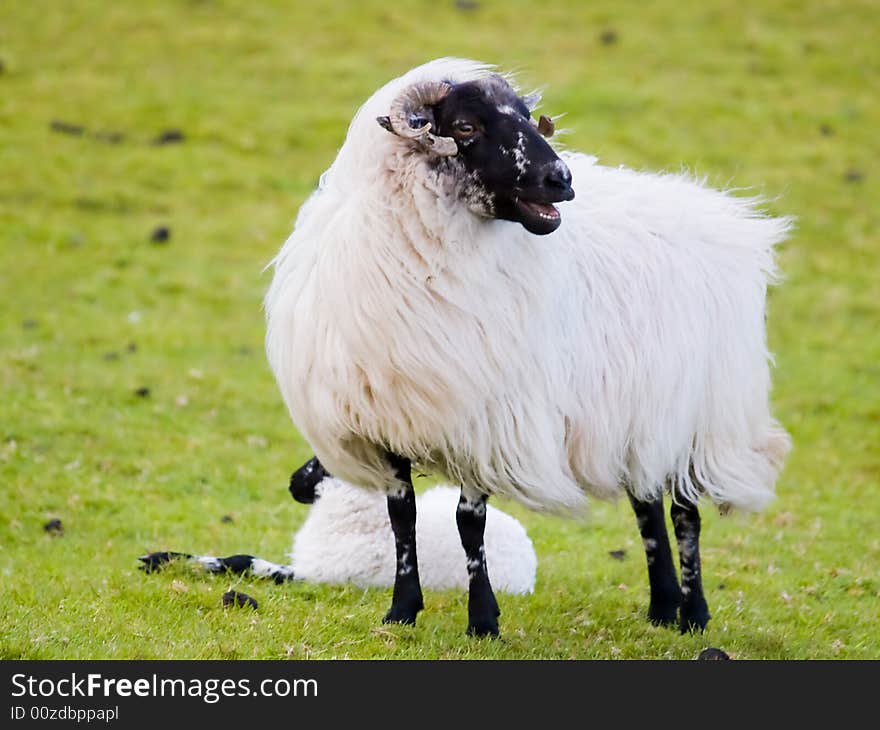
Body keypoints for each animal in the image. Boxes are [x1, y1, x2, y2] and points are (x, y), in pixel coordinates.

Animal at [262, 57, 792, 636]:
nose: (561, 179)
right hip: (634, 414)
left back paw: (693, 613)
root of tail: (722, 217)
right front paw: (402, 610)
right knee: (648, 507)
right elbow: (402, 517)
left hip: (693, 414)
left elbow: (469, 524)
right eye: (465, 126)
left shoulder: (483, 424)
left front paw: (482, 620)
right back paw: (661, 606)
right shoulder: (388, 424)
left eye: (525, 116)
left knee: (684, 512)